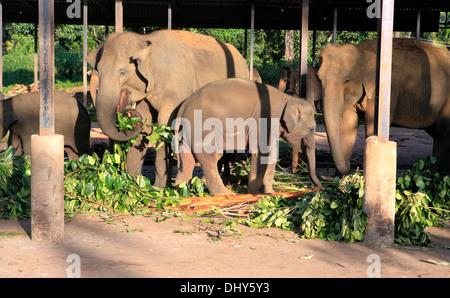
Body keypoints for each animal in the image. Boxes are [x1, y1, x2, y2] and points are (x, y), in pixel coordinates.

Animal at [87, 29, 250, 186]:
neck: (145, 40)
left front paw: (158, 187)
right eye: (98, 70)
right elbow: (145, 126)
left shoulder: (176, 90)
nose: (128, 113)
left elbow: (165, 125)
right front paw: (133, 183)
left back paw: (216, 178)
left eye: (122, 72)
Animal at [171, 77, 322, 196]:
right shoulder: (263, 120)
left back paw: (182, 193)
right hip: (203, 128)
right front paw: (254, 193)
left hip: (190, 130)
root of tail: (183, 107)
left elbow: (272, 154)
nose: (317, 188)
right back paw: (224, 194)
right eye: (311, 129)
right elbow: (260, 153)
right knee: (211, 157)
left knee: (186, 157)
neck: (288, 99)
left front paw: (270, 192)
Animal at [318, 38, 448, 176]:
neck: (363, 52)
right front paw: (339, 179)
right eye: (319, 79)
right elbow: (347, 125)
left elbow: (371, 128)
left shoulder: (385, 90)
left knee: (443, 135)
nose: (352, 169)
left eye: (347, 80)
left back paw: (435, 176)